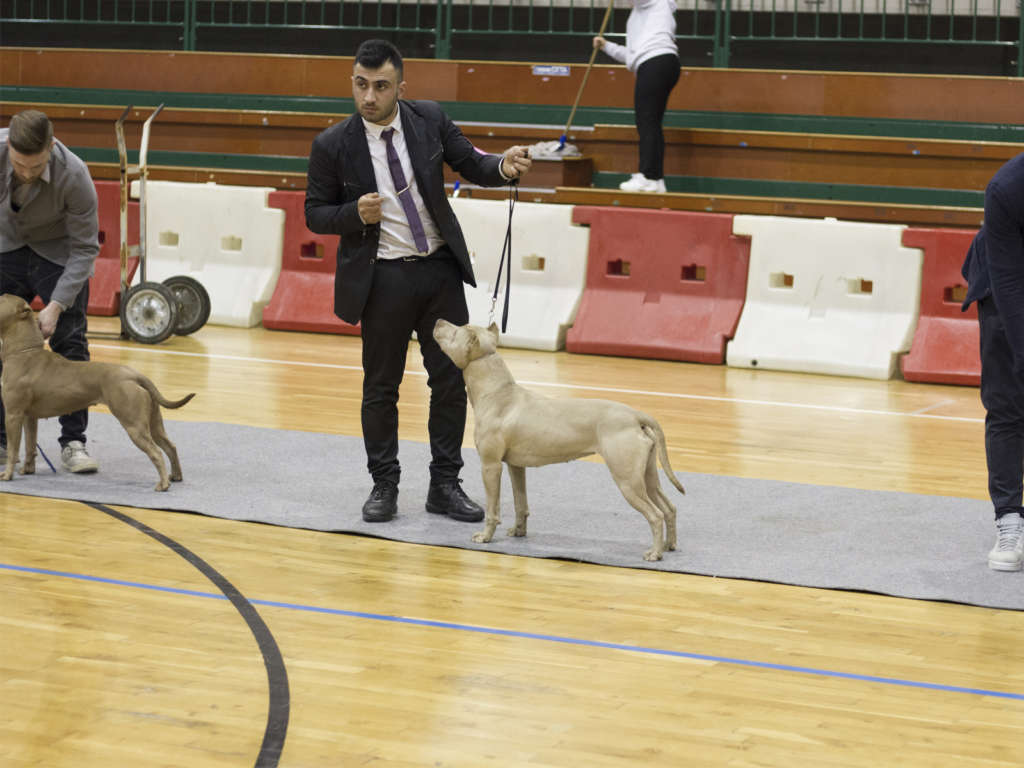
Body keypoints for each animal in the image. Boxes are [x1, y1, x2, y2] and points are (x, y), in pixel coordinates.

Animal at [0, 294, 194, 493]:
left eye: (2, 298)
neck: (24, 352)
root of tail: (134, 375)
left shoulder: (13, 415)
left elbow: (14, 449)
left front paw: (7, 475)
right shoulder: (29, 417)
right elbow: (30, 446)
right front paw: (27, 470)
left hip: (134, 425)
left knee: (156, 452)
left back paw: (163, 484)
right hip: (154, 423)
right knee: (170, 446)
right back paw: (175, 476)